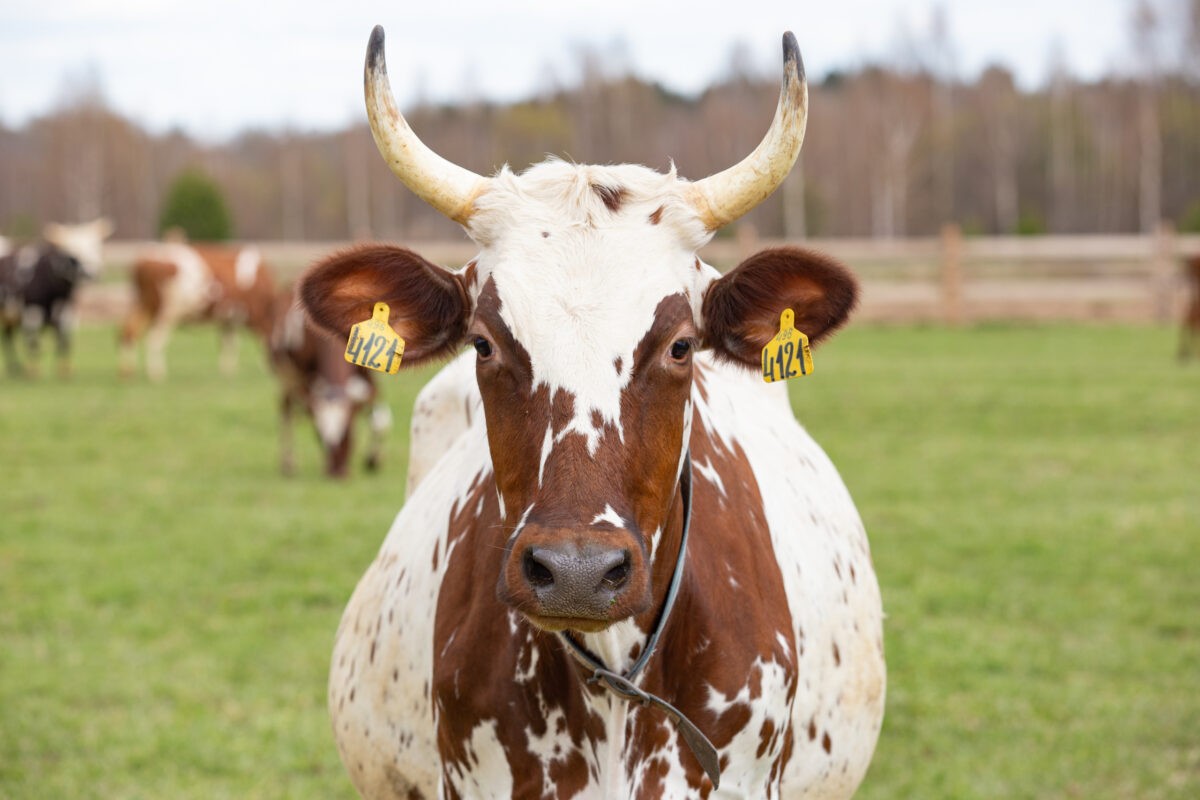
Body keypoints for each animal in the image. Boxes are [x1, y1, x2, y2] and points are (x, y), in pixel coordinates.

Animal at [0, 219, 112, 379]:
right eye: (72, 254)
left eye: (96, 247)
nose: (90, 273)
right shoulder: (31, 313)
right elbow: (33, 344)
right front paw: (34, 372)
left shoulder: (67, 313)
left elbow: (64, 341)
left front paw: (64, 372)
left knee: (7, 336)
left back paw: (15, 369)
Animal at [118, 241, 274, 381]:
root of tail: (145, 258)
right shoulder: (239, 315)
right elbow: (235, 343)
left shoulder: (228, 318)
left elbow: (228, 343)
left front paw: (227, 371)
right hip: (167, 312)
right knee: (154, 339)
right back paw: (157, 374)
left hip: (142, 305)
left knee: (128, 332)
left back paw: (127, 372)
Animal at [270, 287, 391, 474]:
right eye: (319, 436)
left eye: (348, 433)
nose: (337, 473)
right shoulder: (306, 382)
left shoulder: (368, 376)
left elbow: (380, 418)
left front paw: (373, 459)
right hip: (288, 378)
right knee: (287, 411)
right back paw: (288, 463)